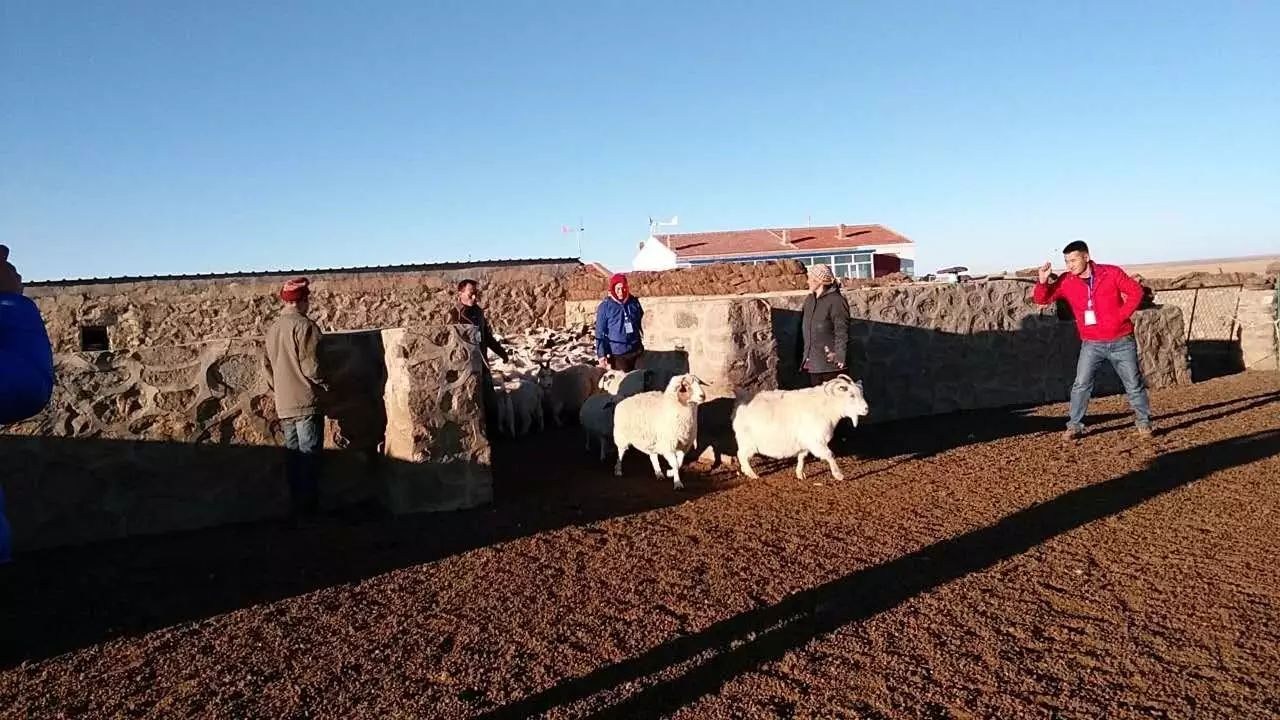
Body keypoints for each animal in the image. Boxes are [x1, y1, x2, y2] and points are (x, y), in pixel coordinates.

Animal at [732, 371, 870, 479]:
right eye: (851, 395)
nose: (866, 409)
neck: (826, 406)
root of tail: (741, 400)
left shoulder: (805, 442)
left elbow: (802, 457)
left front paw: (800, 474)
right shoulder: (816, 440)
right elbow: (829, 454)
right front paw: (838, 475)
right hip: (747, 442)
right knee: (741, 455)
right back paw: (752, 474)